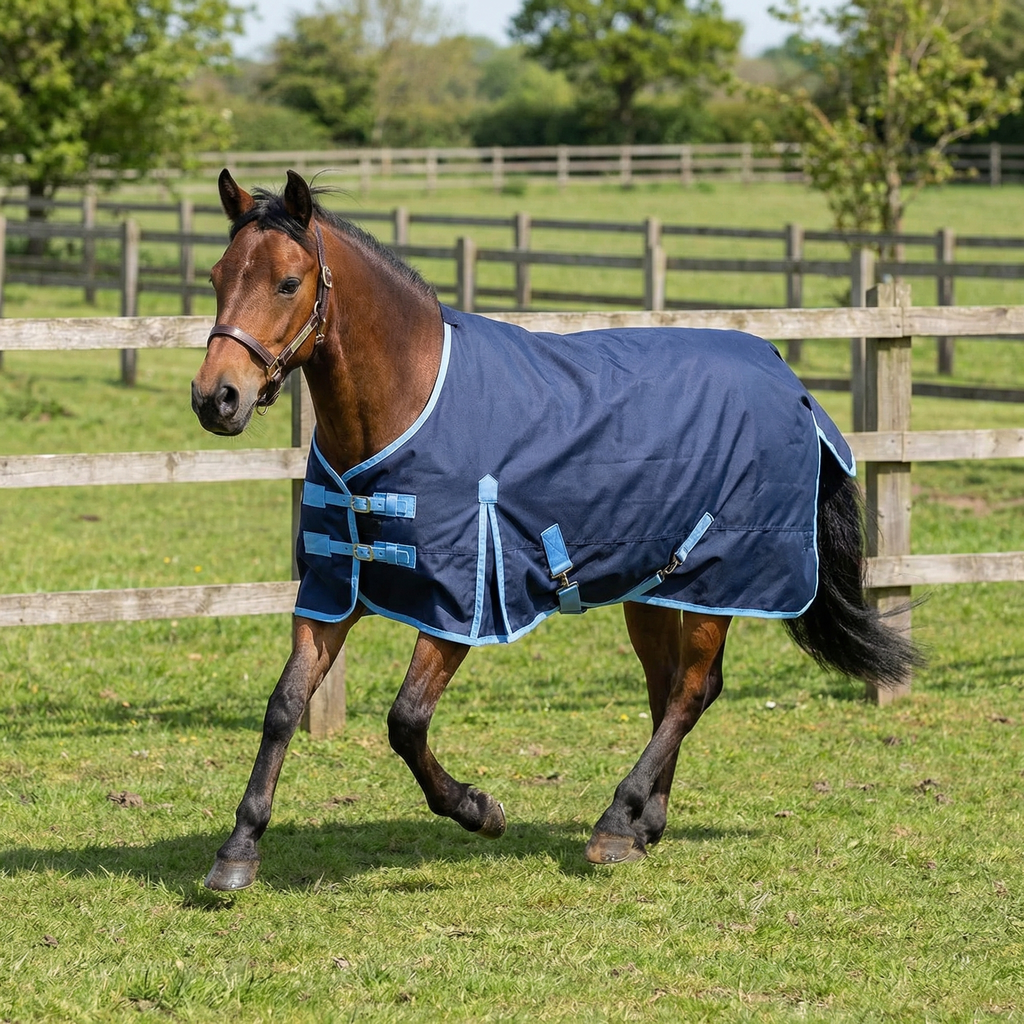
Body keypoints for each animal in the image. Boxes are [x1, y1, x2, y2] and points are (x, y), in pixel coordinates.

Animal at [191, 169, 920, 891]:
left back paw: (616, 821)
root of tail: (792, 383)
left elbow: (406, 721)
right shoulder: (334, 589)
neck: (408, 403)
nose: (216, 398)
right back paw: (642, 826)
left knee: (690, 689)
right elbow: (285, 705)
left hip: (720, 578)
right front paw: (238, 850)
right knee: (671, 686)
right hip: (655, 585)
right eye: (217, 275)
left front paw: (480, 809)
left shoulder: (462, 604)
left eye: (289, 282)